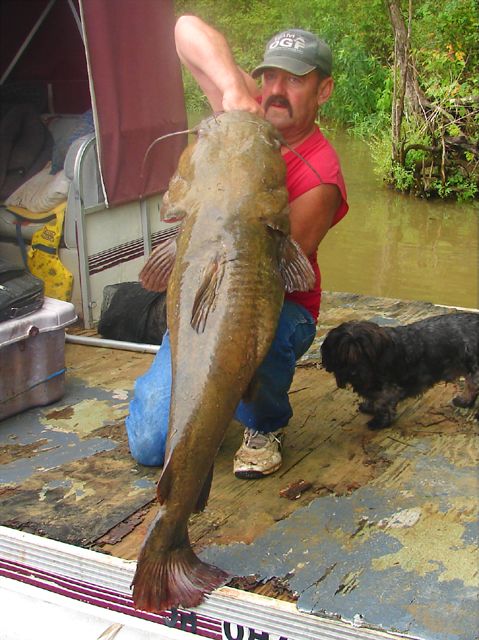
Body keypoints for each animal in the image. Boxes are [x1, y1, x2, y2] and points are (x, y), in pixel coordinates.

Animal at [320, 314, 479, 430]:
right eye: (343, 354)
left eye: (365, 353)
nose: (352, 373)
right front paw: (368, 406)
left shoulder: (388, 391)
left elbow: (383, 406)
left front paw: (379, 422)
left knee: (472, 387)